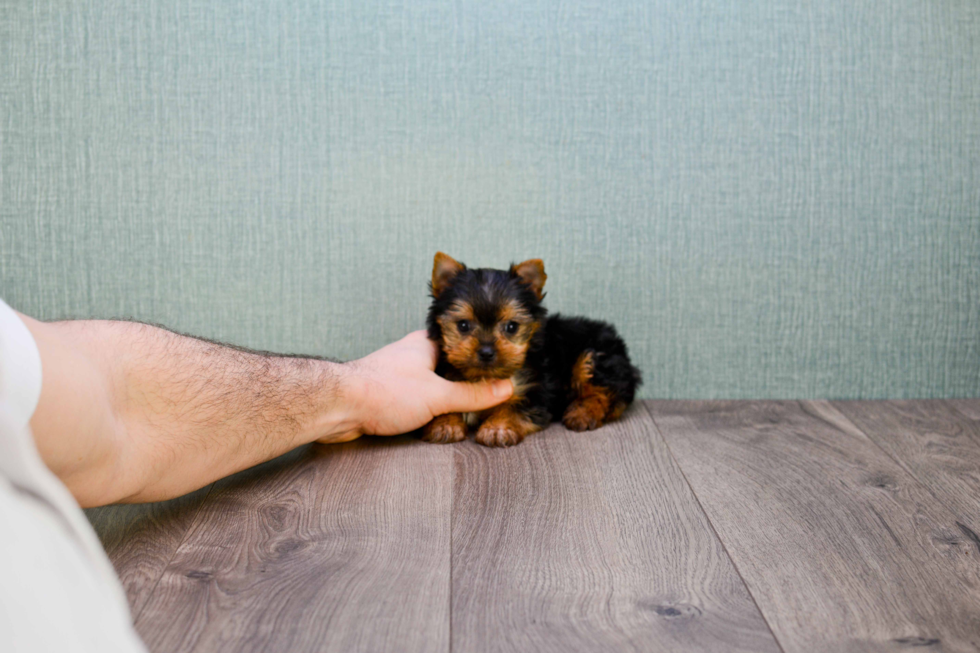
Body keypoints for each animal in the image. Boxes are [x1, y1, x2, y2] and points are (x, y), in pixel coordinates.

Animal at [424, 253, 644, 448]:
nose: (486, 352)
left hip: (597, 356)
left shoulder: (538, 388)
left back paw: (583, 412)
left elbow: (515, 407)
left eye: (511, 327)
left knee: (606, 392)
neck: (485, 377)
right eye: (463, 325)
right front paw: (445, 424)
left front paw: (497, 428)